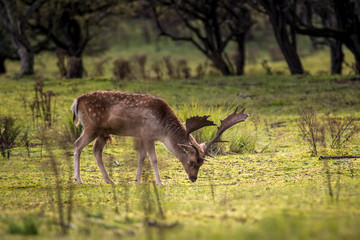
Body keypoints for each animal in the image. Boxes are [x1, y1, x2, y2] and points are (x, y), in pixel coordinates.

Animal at [71, 91, 249, 185]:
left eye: (202, 162)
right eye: (191, 161)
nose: (193, 179)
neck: (162, 130)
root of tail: (77, 100)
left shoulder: (143, 136)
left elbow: (142, 157)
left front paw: (137, 179)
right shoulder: (148, 134)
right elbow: (153, 158)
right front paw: (159, 181)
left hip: (102, 132)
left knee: (96, 150)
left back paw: (109, 180)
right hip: (91, 126)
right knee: (77, 145)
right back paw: (78, 179)